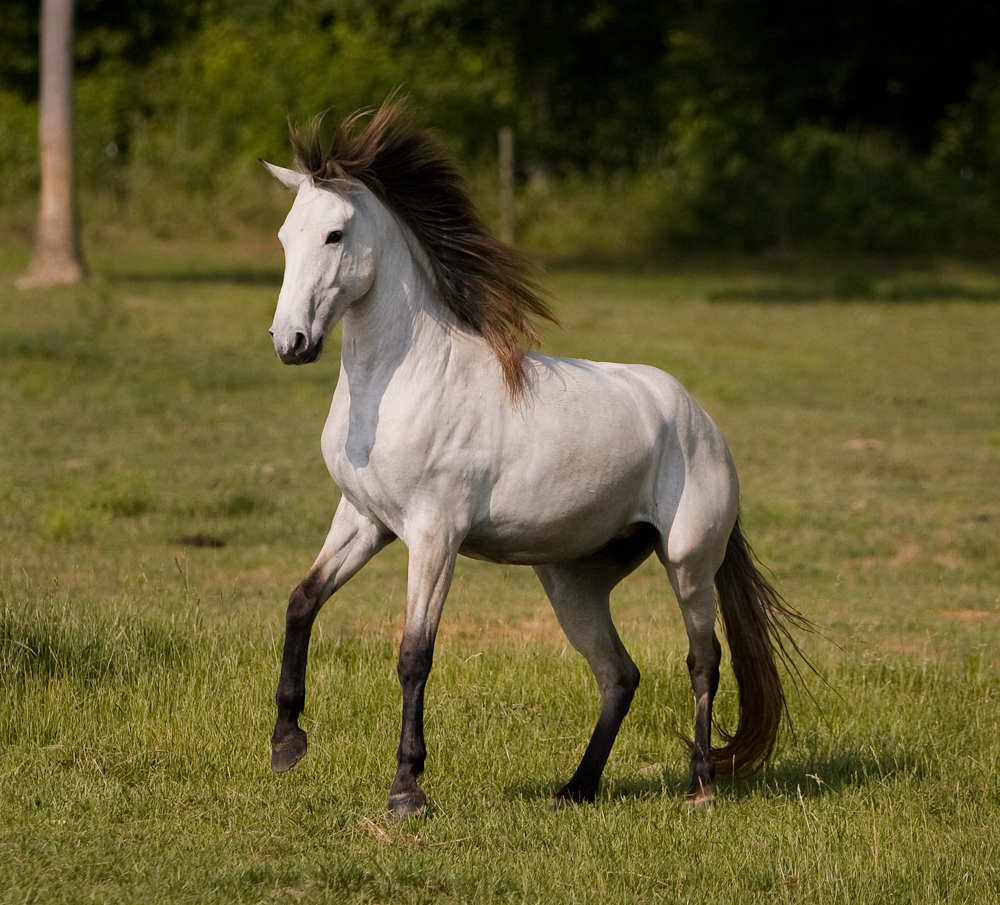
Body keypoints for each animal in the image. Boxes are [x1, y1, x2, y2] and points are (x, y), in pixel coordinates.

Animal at [262, 100, 806, 818]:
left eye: (333, 235)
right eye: (284, 237)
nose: (290, 341)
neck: (404, 380)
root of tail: (704, 423)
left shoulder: (434, 534)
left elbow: (414, 652)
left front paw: (406, 788)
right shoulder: (364, 519)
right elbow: (302, 601)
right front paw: (286, 742)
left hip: (689, 563)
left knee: (703, 660)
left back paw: (701, 785)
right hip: (573, 581)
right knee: (619, 674)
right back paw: (576, 788)